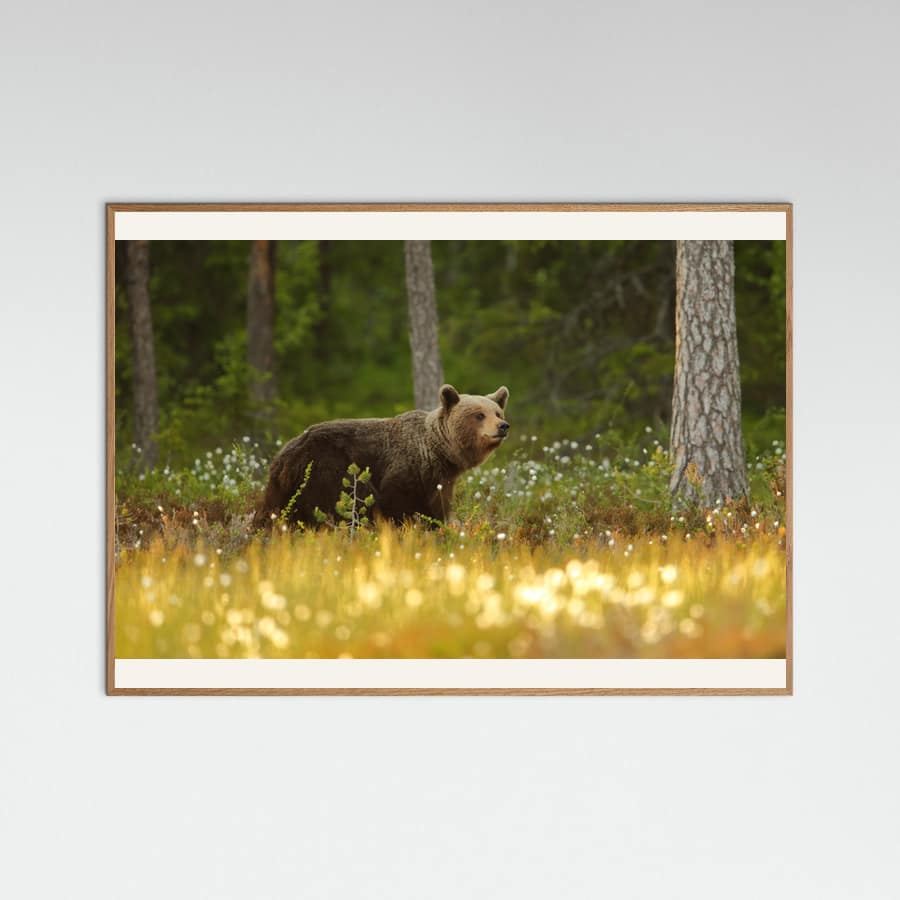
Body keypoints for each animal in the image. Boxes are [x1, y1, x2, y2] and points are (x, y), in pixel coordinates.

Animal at [254, 384, 510, 528]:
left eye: (497, 412)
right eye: (479, 415)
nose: (503, 426)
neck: (438, 452)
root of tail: (284, 455)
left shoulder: (439, 479)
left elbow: (438, 507)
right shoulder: (405, 468)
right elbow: (398, 503)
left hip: (283, 487)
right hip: (327, 469)